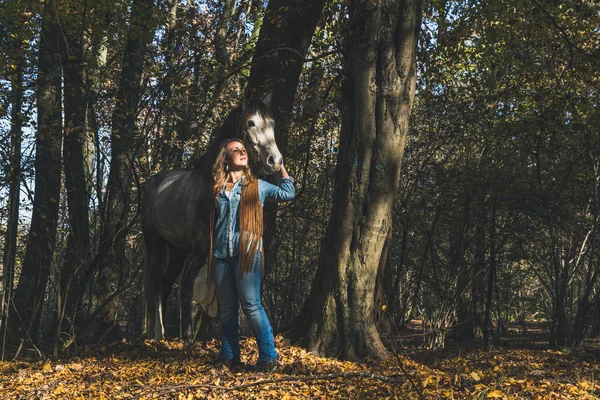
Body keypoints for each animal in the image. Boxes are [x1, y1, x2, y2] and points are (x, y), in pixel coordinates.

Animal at [142, 92, 282, 342]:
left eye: (272, 124)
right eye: (251, 123)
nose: (274, 161)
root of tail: (154, 183)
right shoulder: (199, 251)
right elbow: (192, 291)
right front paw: (189, 338)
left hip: (178, 250)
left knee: (166, 283)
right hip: (155, 241)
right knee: (158, 282)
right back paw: (159, 333)